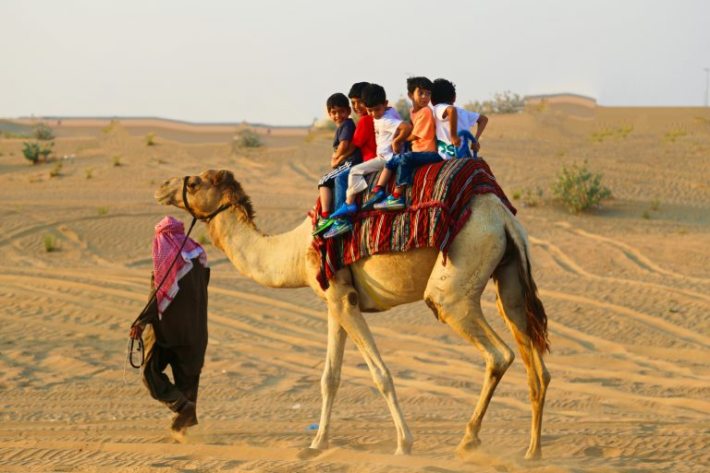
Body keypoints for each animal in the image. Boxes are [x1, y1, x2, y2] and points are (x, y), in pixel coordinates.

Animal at [156, 169, 552, 458]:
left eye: (194, 181)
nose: (163, 187)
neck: (295, 250)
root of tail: (503, 218)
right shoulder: (336, 300)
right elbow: (329, 377)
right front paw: (317, 444)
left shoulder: (342, 297)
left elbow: (381, 374)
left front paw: (404, 444)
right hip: (509, 277)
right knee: (537, 364)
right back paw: (531, 453)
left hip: (455, 283)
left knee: (497, 353)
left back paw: (469, 440)